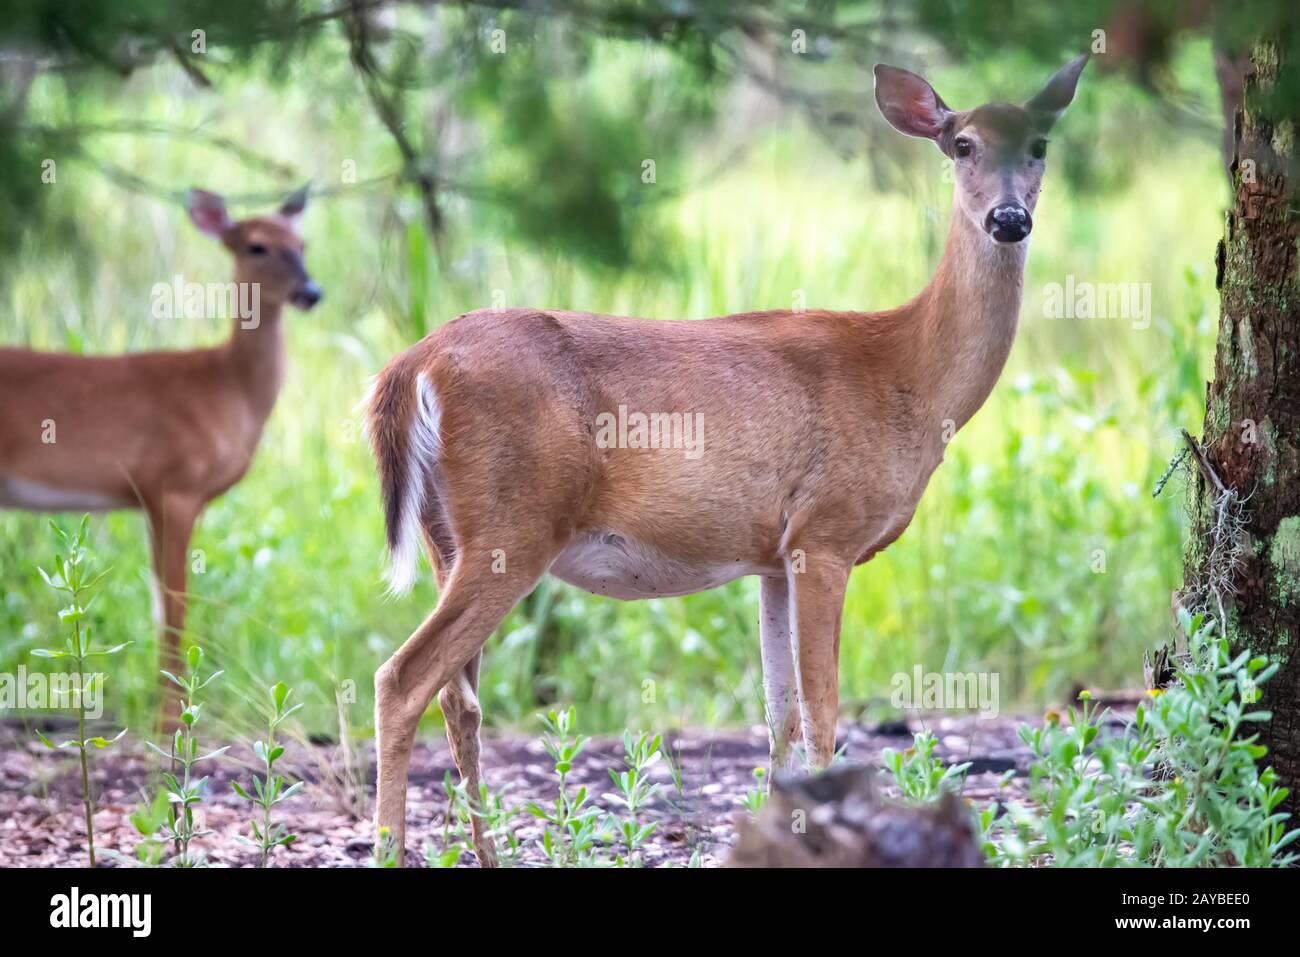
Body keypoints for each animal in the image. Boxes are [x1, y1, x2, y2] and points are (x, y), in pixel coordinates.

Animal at [0, 191, 322, 717]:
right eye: (255, 245)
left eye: (302, 243)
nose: (312, 292)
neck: (226, 390)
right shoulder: (175, 486)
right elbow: (176, 602)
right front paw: (172, 718)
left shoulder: (149, 498)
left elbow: (158, 603)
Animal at [366, 57, 1086, 868]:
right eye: (962, 144)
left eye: (1040, 145)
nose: (1009, 219)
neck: (909, 373)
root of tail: (411, 364)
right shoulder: (826, 532)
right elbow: (824, 712)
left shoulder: (773, 555)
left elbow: (780, 717)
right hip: (512, 527)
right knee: (403, 678)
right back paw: (389, 849)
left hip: (447, 537)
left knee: (459, 696)